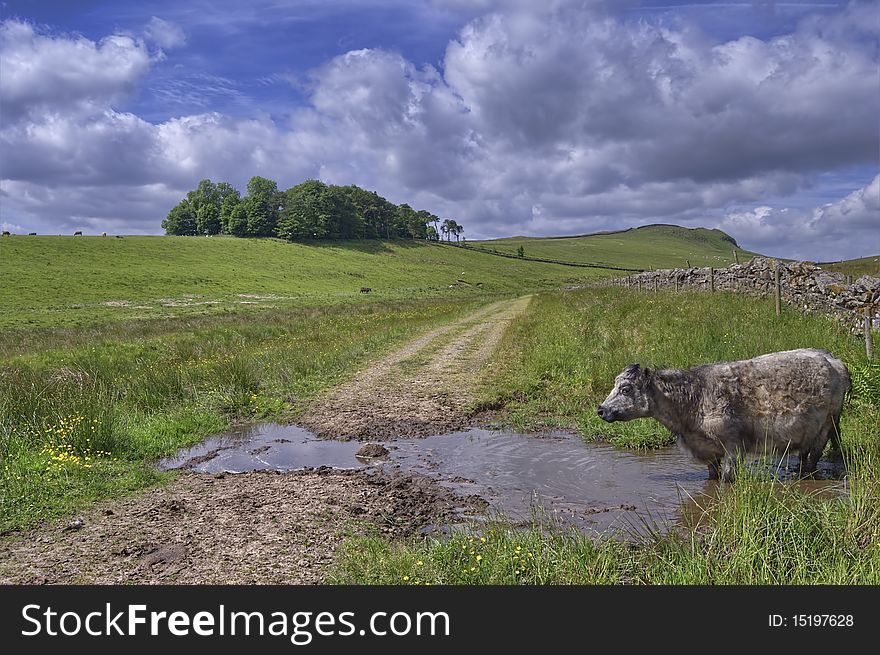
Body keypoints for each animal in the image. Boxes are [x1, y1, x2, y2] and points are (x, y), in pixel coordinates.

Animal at [596, 348, 848, 482]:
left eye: (625, 389)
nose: (601, 409)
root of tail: (833, 360)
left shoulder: (733, 446)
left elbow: (727, 479)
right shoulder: (708, 450)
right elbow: (712, 476)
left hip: (826, 425)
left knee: (814, 455)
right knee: (805, 454)